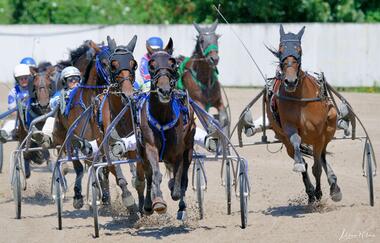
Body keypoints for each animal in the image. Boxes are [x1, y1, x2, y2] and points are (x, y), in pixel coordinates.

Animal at [137, 38, 196, 218]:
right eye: (151, 64)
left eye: (173, 63)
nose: (164, 90)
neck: (162, 118)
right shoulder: (149, 147)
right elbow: (155, 174)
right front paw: (158, 203)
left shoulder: (178, 151)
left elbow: (178, 178)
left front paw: (174, 189)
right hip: (142, 153)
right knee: (149, 175)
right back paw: (148, 204)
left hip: (189, 147)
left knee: (184, 175)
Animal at [266, 25, 342, 203]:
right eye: (280, 50)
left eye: (299, 50)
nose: (290, 81)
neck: (299, 99)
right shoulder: (288, 128)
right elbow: (297, 145)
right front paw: (312, 190)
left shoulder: (318, 135)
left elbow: (317, 166)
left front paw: (321, 192)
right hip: (284, 139)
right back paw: (310, 191)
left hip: (329, 125)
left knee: (322, 156)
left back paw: (333, 186)